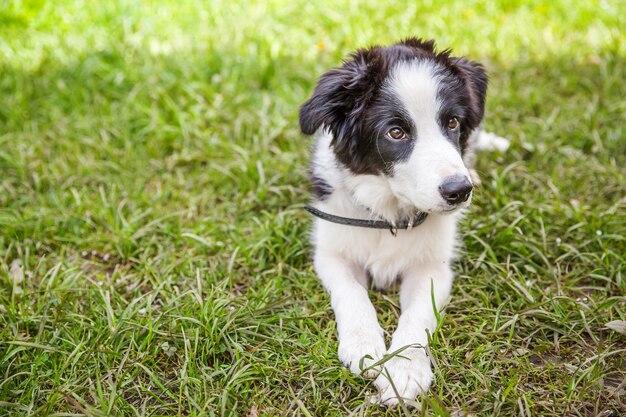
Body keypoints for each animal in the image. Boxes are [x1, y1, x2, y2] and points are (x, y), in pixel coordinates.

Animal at [298, 38, 508, 404]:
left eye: (452, 123)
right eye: (395, 132)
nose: (459, 190)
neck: (389, 215)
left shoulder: (433, 267)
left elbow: (417, 315)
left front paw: (404, 371)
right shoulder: (332, 253)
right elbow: (352, 293)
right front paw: (364, 348)